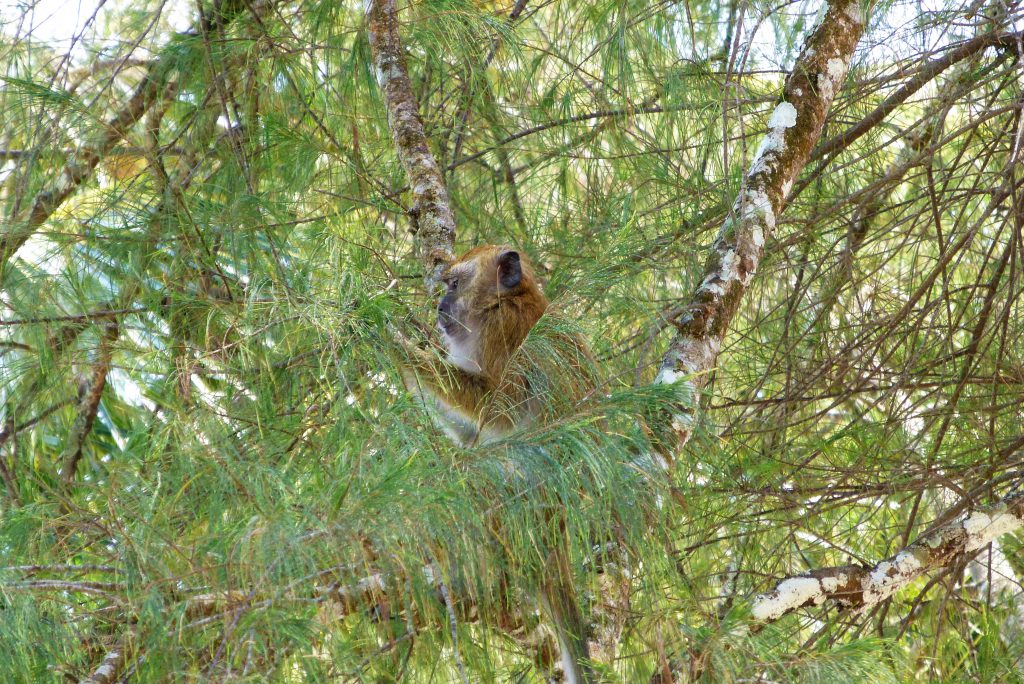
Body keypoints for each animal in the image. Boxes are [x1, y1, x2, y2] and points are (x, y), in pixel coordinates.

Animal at [397, 245, 598, 684]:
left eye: (455, 284)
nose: (439, 306)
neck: (506, 300)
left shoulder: (502, 332)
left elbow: (496, 411)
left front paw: (395, 345)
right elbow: (472, 433)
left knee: (480, 483)